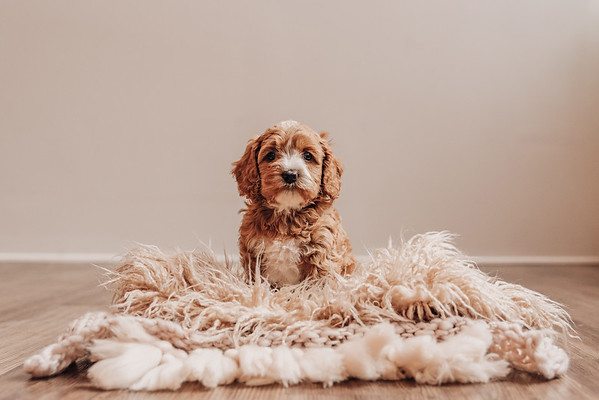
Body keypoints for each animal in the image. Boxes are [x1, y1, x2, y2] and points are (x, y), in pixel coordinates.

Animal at [233, 120, 356, 286]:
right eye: (271, 155)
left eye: (308, 156)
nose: (290, 175)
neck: (287, 213)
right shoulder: (253, 255)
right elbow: (256, 282)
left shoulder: (321, 253)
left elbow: (319, 284)